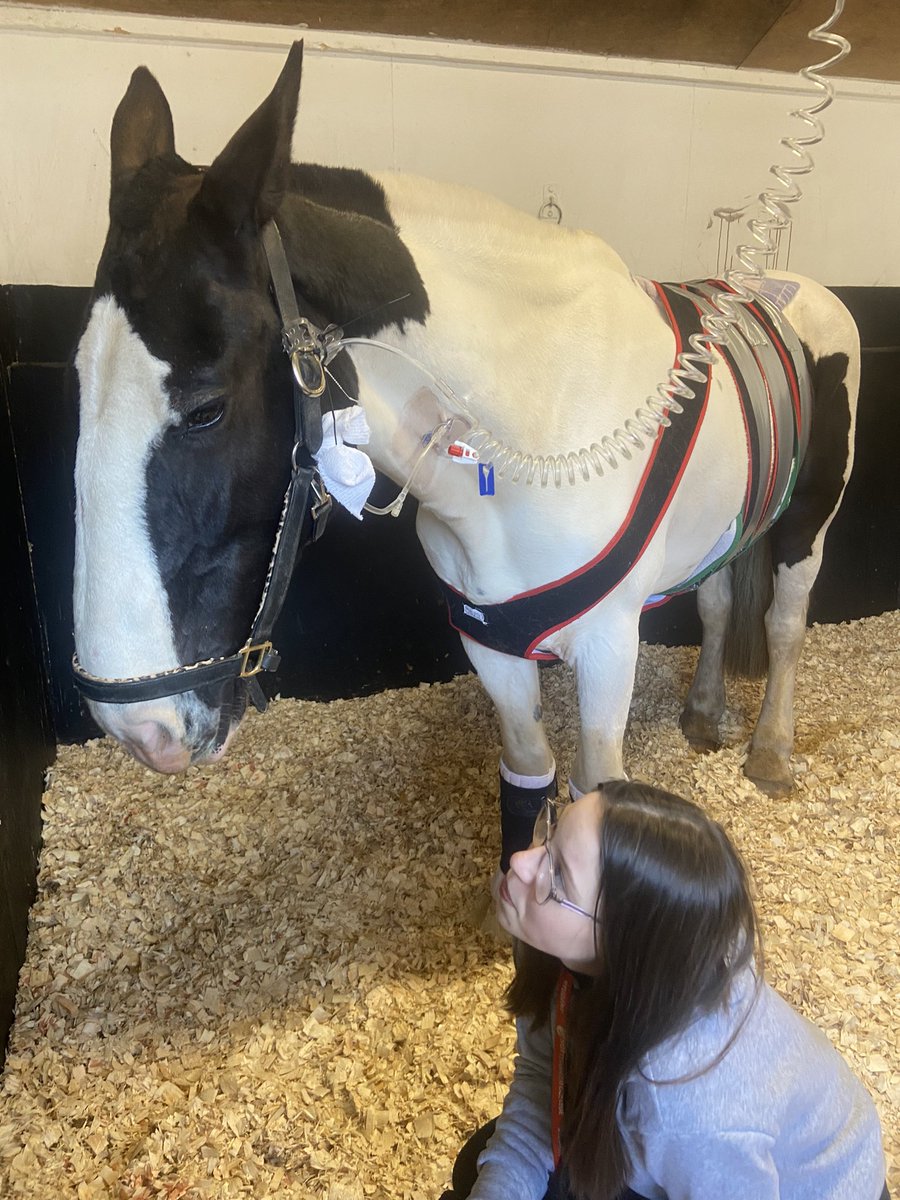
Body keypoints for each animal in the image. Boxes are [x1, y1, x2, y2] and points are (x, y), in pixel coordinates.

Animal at [72, 43, 859, 870]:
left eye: (207, 409)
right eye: (78, 380)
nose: (139, 730)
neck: (529, 426)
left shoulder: (610, 644)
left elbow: (597, 788)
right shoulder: (492, 646)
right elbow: (527, 774)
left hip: (809, 521)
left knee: (785, 623)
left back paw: (769, 753)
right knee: (715, 600)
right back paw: (705, 714)